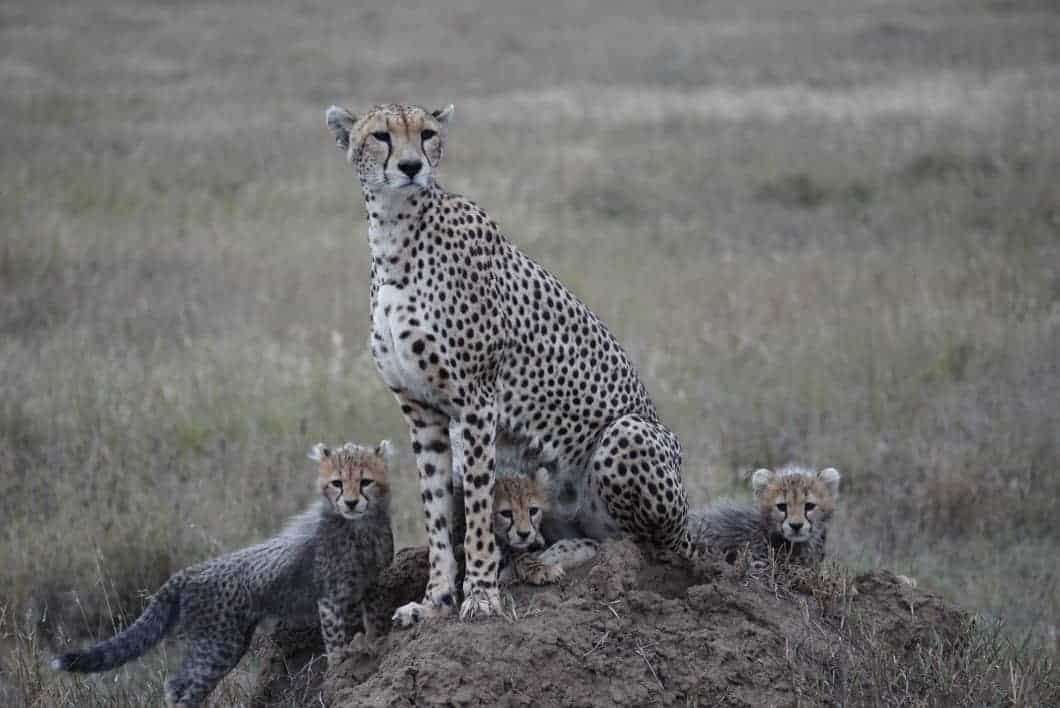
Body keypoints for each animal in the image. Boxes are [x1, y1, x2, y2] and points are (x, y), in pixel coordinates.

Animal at [51, 441, 395, 707]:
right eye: (337, 483)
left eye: (365, 481)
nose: (351, 502)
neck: (360, 527)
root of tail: (186, 573)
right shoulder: (331, 599)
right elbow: (337, 644)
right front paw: (341, 674)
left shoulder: (370, 587)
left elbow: (373, 625)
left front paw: (373, 649)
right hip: (218, 644)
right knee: (182, 687)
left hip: (229, 642)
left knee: (178, 684)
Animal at [325, 102, 692, 625]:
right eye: (380, 136)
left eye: (427, 134)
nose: (412, 167)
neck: (395, 234)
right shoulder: (422, 411)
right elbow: (436, 509)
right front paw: (436, 599)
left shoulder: (476, 401)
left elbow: (480, 505)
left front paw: (480, 594)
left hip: (630, 437)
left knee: (638, 548)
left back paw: (551, 561)